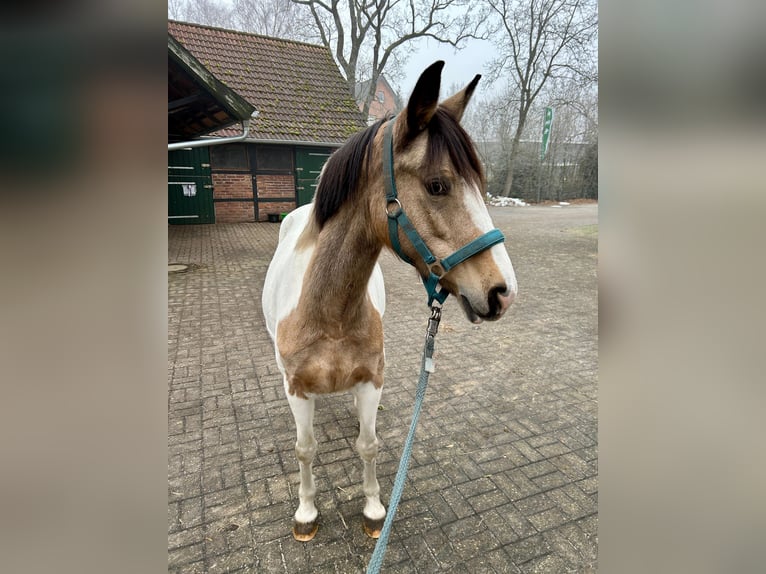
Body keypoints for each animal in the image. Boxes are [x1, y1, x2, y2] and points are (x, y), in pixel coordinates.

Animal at [260, 60, 520, 544]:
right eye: (437, 185)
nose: (503, 292)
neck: (329, 313)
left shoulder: (370, 380)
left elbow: (369, 444)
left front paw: (374, 508)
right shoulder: (297, 388)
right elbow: (305, 449)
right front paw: (306, 513)